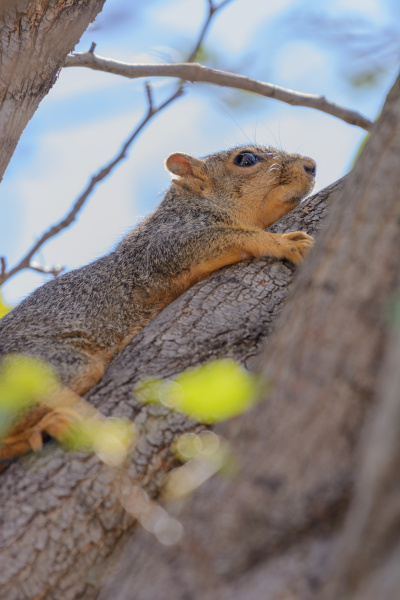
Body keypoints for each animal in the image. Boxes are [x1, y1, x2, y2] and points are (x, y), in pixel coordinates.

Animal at [0, 145, 316, 464]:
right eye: (246, 159)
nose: (311, 165)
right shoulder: (164, 245)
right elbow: (233, 237)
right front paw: (283, 242)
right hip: (48, 365)